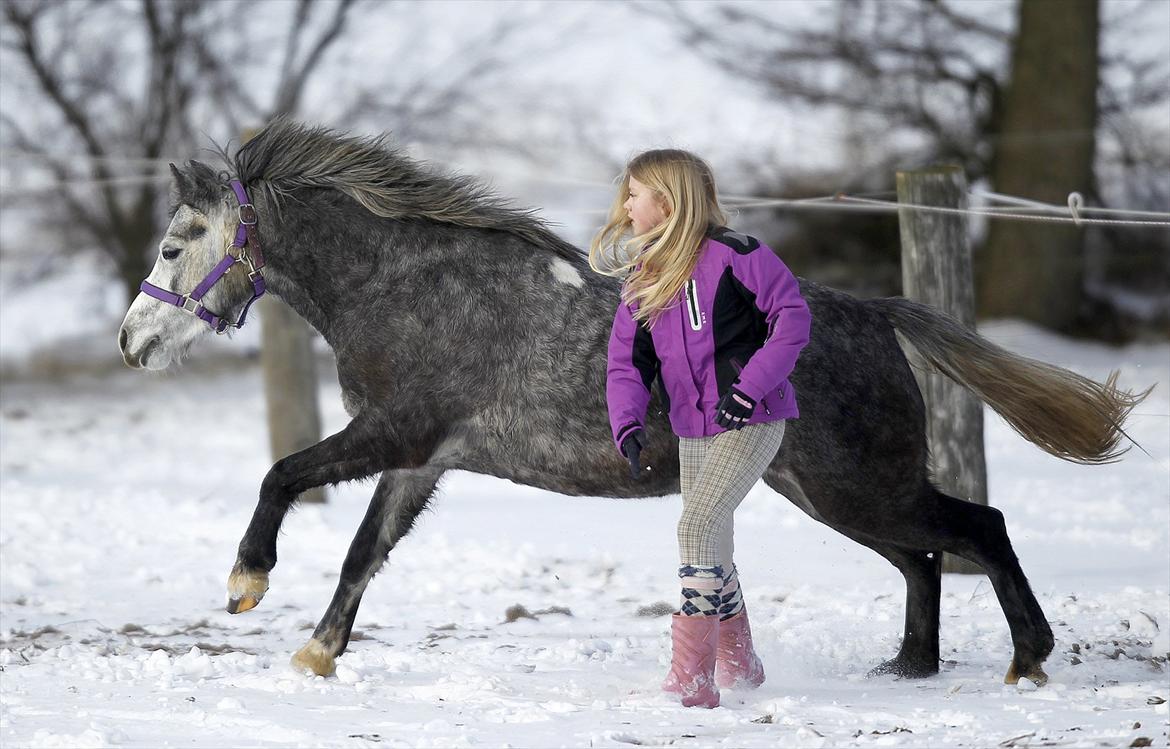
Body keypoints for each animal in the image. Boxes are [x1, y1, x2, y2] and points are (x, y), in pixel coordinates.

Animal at [116, 121, 1141, 683]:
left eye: (173, 243)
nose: (132, 342)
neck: (409, 284)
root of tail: (875, 313)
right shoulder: (417, 459)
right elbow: (364, 554)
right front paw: (318, 654)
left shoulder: (392, 432)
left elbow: (283, 473)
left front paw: (246, 582)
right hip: (834, 495)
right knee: (925, 558)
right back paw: (910, 668)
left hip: (862, 488)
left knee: (977, 528)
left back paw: (1028, 657)